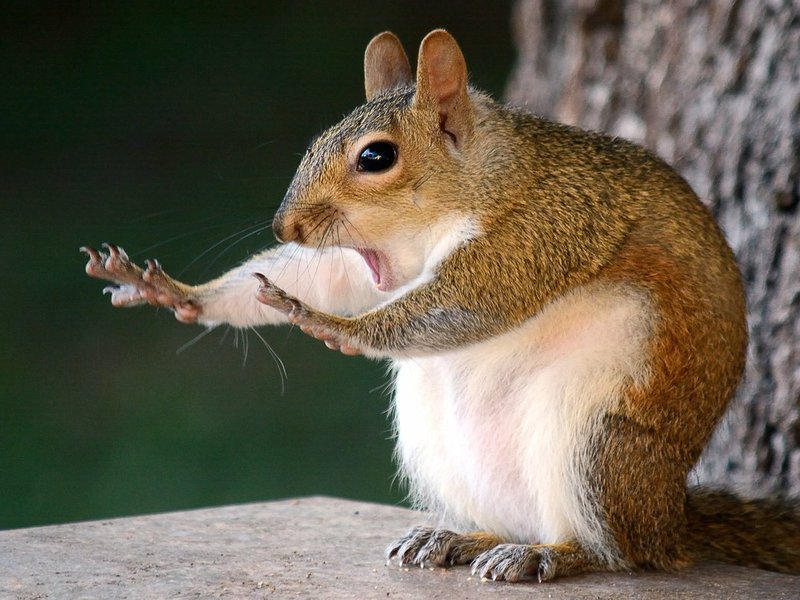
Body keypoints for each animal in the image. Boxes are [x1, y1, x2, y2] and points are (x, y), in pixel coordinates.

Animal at [82, 29, 800, 582]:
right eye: (317, 140)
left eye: (377, 156)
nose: (288, 227)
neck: (485, 179)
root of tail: (667, 522)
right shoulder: (363, 261)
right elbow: (324, 276)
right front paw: (176, 292)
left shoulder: (544, 229)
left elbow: (467, 303)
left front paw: (331, 324)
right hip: (440, 441)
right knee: (511, 520)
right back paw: (459, 537)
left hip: (597, 443)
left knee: (617, 552)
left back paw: (549, 556)